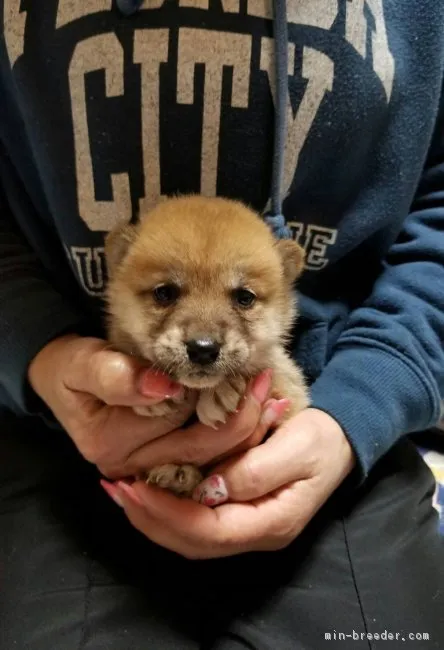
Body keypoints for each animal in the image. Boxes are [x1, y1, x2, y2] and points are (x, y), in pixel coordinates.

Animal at [106, 195, 310, 494]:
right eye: (164, 293)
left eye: (244, 298)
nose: (203, 349)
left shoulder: (290, 393)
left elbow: (266, 372)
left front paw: (220, 391)